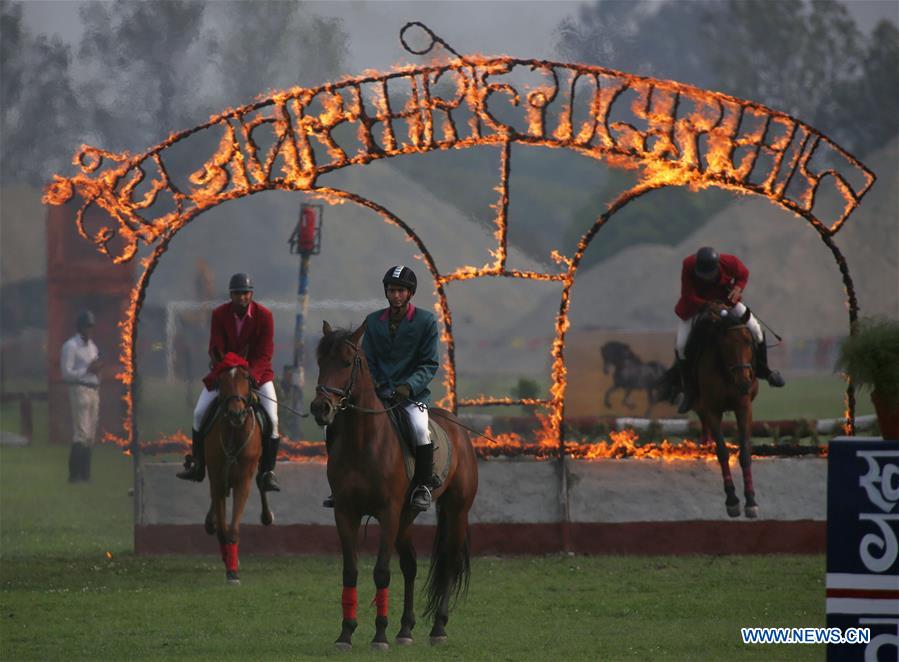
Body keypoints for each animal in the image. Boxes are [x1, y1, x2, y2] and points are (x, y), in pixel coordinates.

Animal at [202, 364, 272, 588]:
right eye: (222, 381)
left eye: (247, 379)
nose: (236, 413)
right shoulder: (217, 477)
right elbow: (223, 529)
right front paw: (228, 562)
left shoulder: (243, 480)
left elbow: (232, 529)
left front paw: (233, 572)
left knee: (261, 480)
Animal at [310, 324, 478, 652]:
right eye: (321, 361)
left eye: (347, 363)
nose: (321, 407)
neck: (363, 441)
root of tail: (457, 427)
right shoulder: (345, 513)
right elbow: (350, 571)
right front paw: (346, 634)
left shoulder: (387, 513)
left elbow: (381, 572)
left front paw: (379, 636)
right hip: (406, 518)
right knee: (410, 566)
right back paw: (405, 630)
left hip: (455, 512)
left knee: (448, 564)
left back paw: (438, 628)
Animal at [688, 304, 760, 520]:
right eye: (725, 345)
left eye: (748, 341)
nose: (744, 382)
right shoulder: (712, 410)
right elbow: (721, 451)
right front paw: (732, 500)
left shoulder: (743, 407)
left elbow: (745, 452)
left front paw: (751, 501)